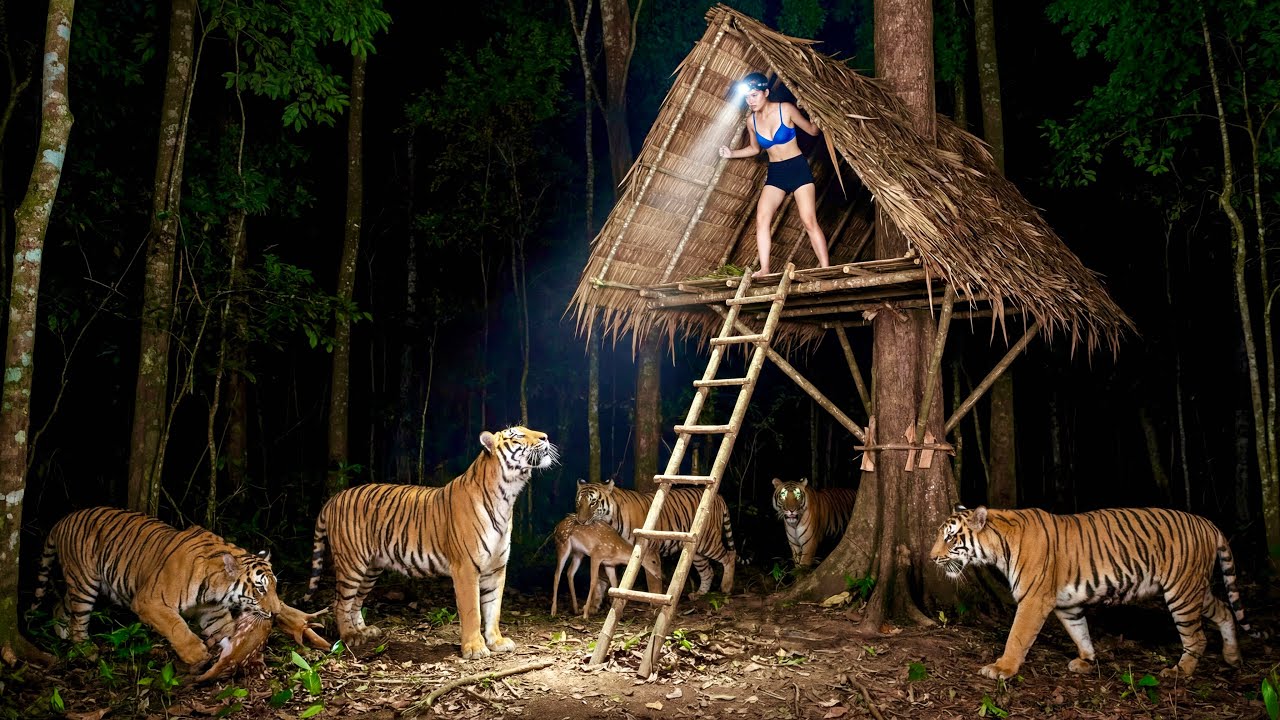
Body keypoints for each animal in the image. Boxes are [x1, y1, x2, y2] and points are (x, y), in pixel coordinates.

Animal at [31, 506, 281, 670]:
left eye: (274, 587)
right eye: (260, 589)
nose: (277, 612)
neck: (215, 590)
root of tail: (64, 519)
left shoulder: (213, 612)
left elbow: (226, 630)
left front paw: (240, 654)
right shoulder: (149, 601)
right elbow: (176, 626)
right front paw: (195, 654)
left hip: (78, 583)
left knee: (62, 605)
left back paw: (61, 632)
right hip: (84, 582)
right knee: (79, 618)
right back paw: (85, 649)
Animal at [304, 426, 557, 659]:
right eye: (518, 435)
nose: (546, 436)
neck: (507, 495)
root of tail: (334, 498)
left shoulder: (496, 568)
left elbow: (493, 608)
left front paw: (496, 641)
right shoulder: (466, 568)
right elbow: (473, 611)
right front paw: (475, 648)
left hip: (371, 568)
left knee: (356, 600)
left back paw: (364, 631)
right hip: (352, 564)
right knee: (340, 603)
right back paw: (350, 636)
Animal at [574, 478, 735, 596]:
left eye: (593, 502)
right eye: (578, 502)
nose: (580, 521)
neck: (612, 520)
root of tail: (718, 497)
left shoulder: (650, 549)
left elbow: (653, 578)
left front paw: (654, 602)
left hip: (708, 541)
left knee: (729, 556)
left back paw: (726, 587)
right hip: (696, 552)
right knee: (707, 571)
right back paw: (699, 594)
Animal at [931, 504, 1264, 679]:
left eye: (950, 538)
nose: (932, 557)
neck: (999, 545)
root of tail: (1208, 523)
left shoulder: (1033, 600)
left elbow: (1017, 637)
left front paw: (1002, 668)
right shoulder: (1066, 605)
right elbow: (1080, 631)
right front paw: (1087, 661)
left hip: (1182, 593)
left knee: (1197, 637)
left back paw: (1180, 671)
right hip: (1195, 589)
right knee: (1225, 610)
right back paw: (1233, 657)